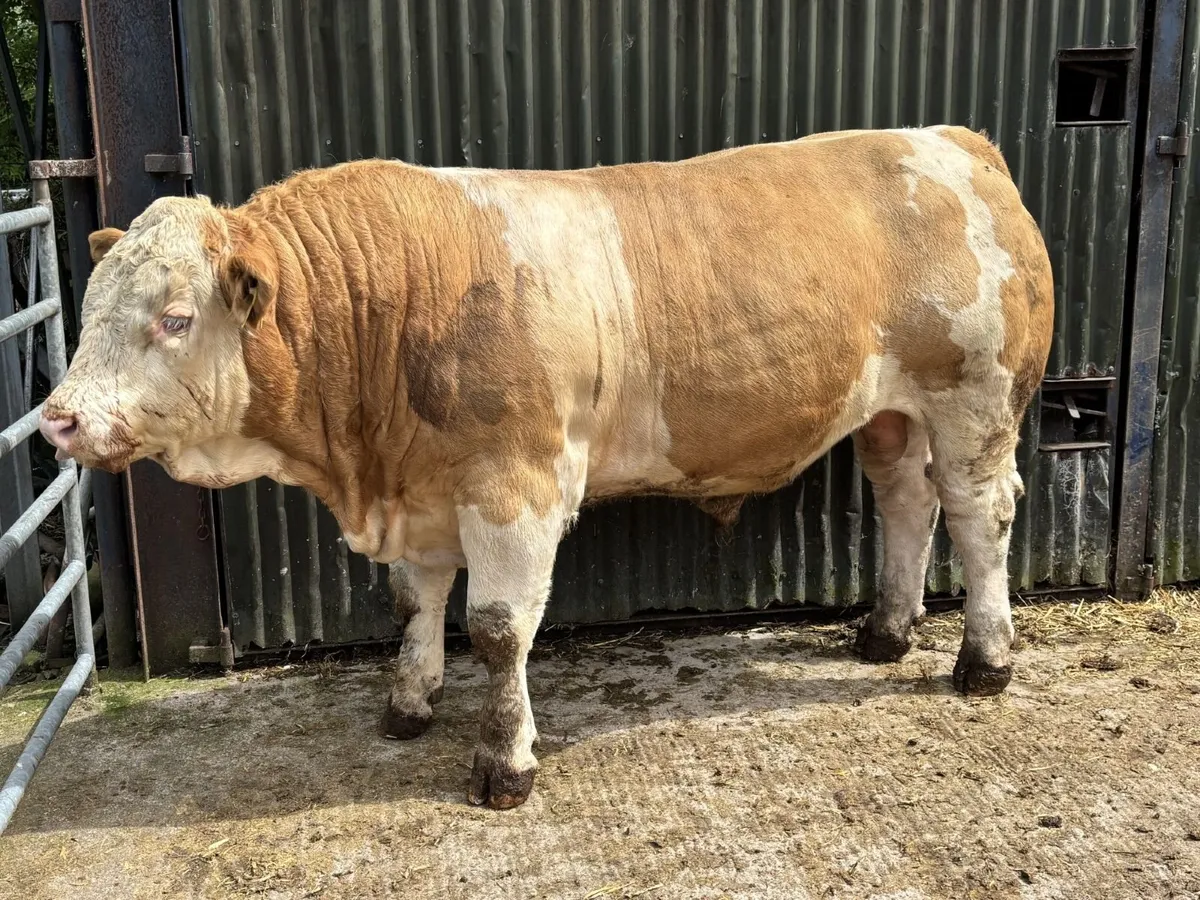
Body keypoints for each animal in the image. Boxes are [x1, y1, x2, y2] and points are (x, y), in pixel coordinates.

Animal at [39, 125, 1054, 809]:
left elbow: (496, 628)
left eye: (174, 317)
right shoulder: (426, 488)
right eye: (88, 309)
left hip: (975, 401)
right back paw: (886, 631)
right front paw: (408, 704)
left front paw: (504, 762)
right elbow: (414, 602)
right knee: (907, 504)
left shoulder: (512, 485)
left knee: (981, 517)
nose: (59, 419)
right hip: (891, 417)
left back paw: (983, 660)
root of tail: (955, 143)